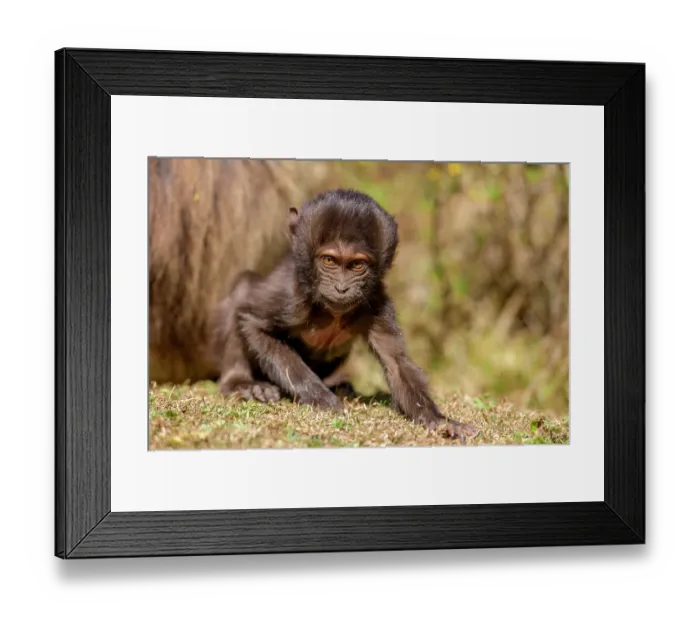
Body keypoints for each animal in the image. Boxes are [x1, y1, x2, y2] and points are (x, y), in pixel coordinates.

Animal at [211, 189, 478, 442]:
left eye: (357, 265)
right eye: (329, 260)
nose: (341, 288)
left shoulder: (377, 302)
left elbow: (396, 362)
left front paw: (440, 421)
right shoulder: (290, 297)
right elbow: (253, 324)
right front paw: (320, 397)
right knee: (241, 289)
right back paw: (242, 384)